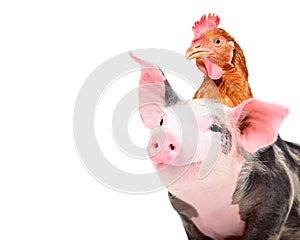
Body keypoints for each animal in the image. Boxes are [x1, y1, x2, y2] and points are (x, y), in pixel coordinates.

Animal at [132, 53, 300, 240]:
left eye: (214, 128)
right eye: (162, 121)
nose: (167, 135)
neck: (212, 209)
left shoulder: (276, 201)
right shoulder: (186, 217)